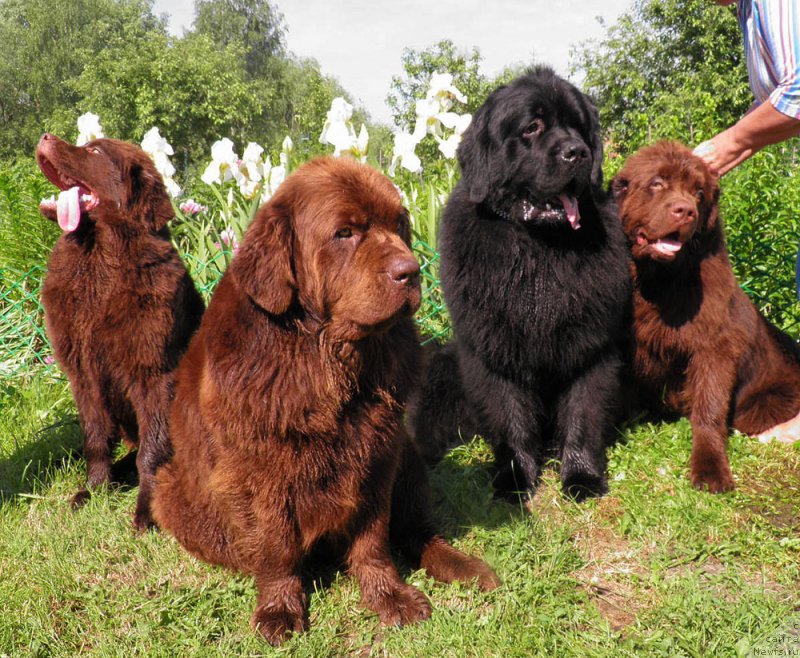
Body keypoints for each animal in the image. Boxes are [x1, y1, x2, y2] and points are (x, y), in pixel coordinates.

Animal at [36, 133, 203, 528]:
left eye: (95, 151)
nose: (45, 137)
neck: (98, 261)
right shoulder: (83, 374)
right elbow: (96, 440)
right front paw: (94, 491)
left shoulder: (154, 375)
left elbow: (153, 450)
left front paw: (147, 511)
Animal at [151, 158, 500, 640]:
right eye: (344, 233)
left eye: (400, 225)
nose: (411, 271)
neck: (327, 360)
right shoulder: (260, 467)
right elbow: (276, 545)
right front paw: (279, 610)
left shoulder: (377, 454)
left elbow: (373, 538)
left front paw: (389, 596)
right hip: (167, 490)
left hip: (407, 457)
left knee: (415, 529)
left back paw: (463, 566)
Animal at [412, 68, 632, 498]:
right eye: (532, 127)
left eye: (579, 127)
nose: (578, 152)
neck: (540, 247)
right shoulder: (494, 350)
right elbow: (509, 414)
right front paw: (513, 478)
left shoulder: (590, 348)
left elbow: (582, 412)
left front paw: (581, 476)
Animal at [612, 142, 800, 492]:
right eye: (657, 183)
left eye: (699, 193)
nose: (686, 210)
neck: (659, 282)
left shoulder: (715, 346)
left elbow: (709, 409)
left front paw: (711, 469)